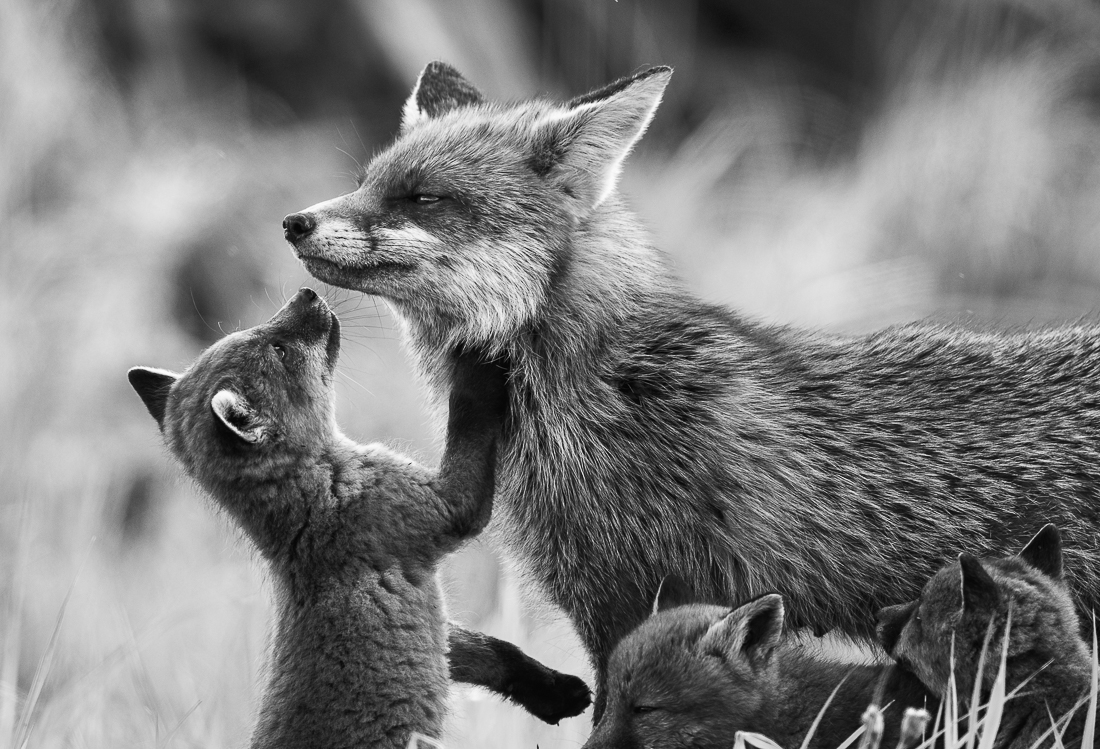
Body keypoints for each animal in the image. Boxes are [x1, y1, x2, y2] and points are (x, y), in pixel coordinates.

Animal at [127, 288, 590, 748]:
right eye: (279, 349)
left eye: (259, 334)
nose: (307, 292)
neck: (319, 498)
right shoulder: (446, 508)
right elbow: (469, 409)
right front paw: (473, 351)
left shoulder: (437, 631)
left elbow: (497, 653)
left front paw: (556, 693)